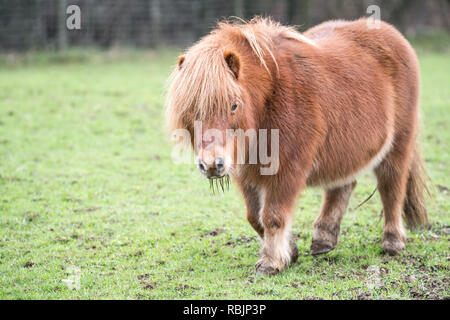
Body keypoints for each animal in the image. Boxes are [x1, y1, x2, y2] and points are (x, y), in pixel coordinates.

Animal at [165, 16, 428, 274]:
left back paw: (393, 242)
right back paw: (323, 239)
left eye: (233, 105)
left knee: (392, 186)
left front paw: (271, 262)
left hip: (398, 144)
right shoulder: (247, 173)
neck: (269, 99)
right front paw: (289, 252)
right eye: (190, 110)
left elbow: (273, 216)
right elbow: (255, 217)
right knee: (342, 186)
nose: (211, 165)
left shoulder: (287, 169)